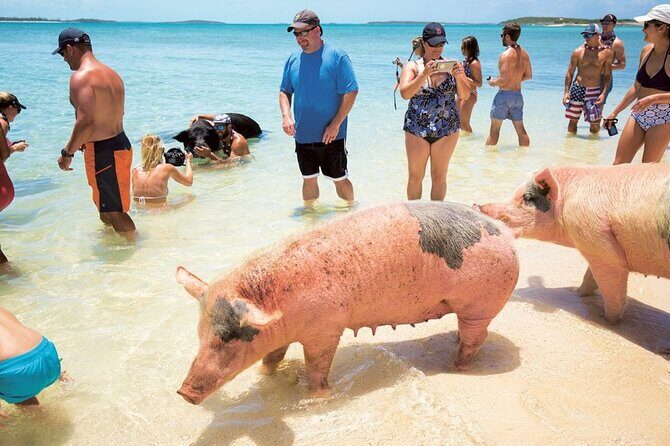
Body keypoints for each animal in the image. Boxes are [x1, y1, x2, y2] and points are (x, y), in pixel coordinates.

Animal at [176, 202, 519, 404]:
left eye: (229, 338)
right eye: (200, 334)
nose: (184, 392)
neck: (278, 303)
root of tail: (506, 233)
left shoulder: (326, 328)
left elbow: (317, 364)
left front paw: (319, 398)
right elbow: (272, 357)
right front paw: (265, 376)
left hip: (481, 303)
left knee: (476, 338)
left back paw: (455, 367)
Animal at [477, 163, 670, 323]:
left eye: (527, 197)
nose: (478, 205)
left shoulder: (600, 244)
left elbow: (612, 289)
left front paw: (606, 320)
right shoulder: (595, 248)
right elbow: (589, 276)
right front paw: (575, 293)